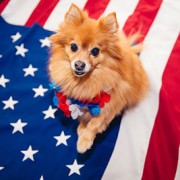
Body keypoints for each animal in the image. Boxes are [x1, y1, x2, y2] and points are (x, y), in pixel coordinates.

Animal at [48, 3, 148, 153]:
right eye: (73, 47)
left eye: (95, 51)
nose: (79, 64)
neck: (85, 81)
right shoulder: (79, 100)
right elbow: (83, 114)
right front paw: (82, 127)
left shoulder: (112, 103)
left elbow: (95, 123)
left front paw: (84, 141)